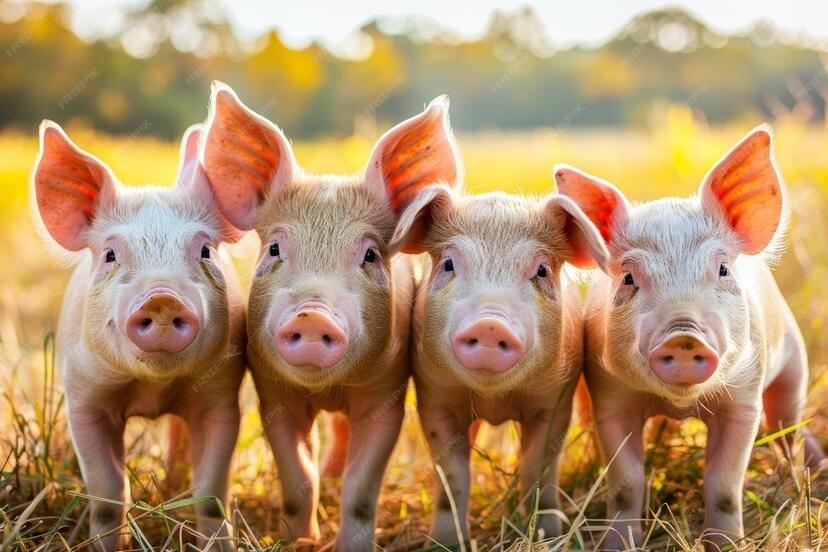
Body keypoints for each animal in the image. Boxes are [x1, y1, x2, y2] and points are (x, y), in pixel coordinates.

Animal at [32, 121, 246, 551]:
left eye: (205, 251)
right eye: (111, 254)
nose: (162, 298)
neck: (154, 387)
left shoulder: (221, 398)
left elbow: (211, 489)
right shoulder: (83, 400)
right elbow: (107, 490)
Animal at [199, 82, 459, 550]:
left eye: (371, 254)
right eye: (274, 248)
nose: (312, 315)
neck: (327, 387)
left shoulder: (386, 394)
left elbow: (361, 490)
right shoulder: (274, 394)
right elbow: (298, 478)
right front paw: (300, 541)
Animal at [388, 109, 610, 543]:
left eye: (541, 269)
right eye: (448, 263)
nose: (491, 323)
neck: (494, 397)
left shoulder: (554, 398)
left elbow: (538, 468)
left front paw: (545, 532)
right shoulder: (435, 396)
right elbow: (452, 476)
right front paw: (445, 542)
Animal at [555, 126, 826, 550]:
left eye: (723, 269)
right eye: (629, 277)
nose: (684, 336)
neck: (679, 404)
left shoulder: (743, 399)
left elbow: (725, 485)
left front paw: (726, 544)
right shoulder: (610, 397)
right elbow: (626, 485)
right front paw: (618, 544)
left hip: (794, 360)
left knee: (787, 424)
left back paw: (811, 468)